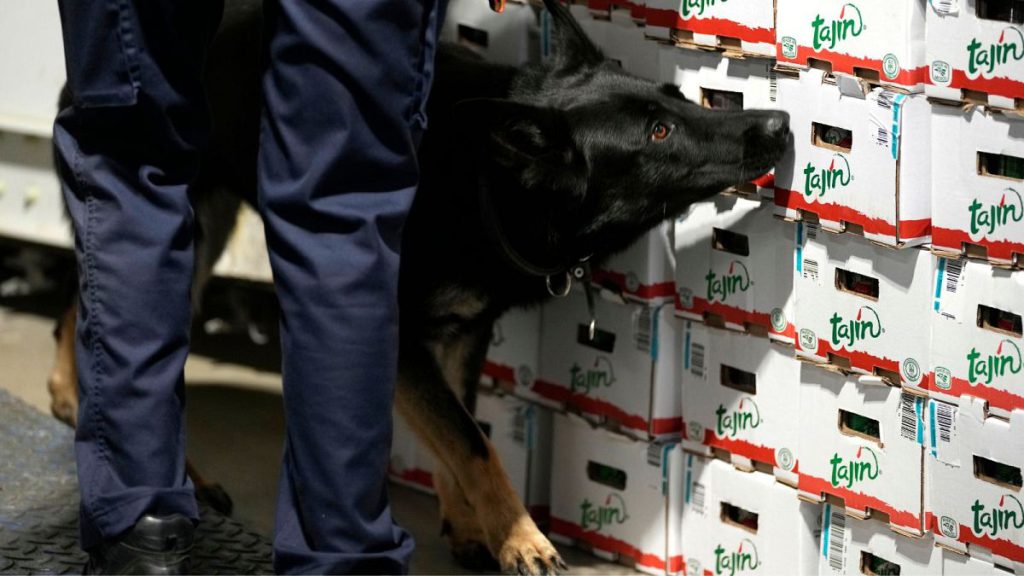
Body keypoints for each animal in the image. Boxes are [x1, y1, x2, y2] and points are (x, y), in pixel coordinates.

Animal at [49, 2, 790, 569]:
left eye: (677, 99)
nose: (778, 125)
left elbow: (458, 431)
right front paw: (522, 539)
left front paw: (470, 526)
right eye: (660, 133)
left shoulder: (460, 332)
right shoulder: (401, 336)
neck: (489, 177)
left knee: (83, 305)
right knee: (101, 317)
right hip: (188, 220)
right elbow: (472, 440)